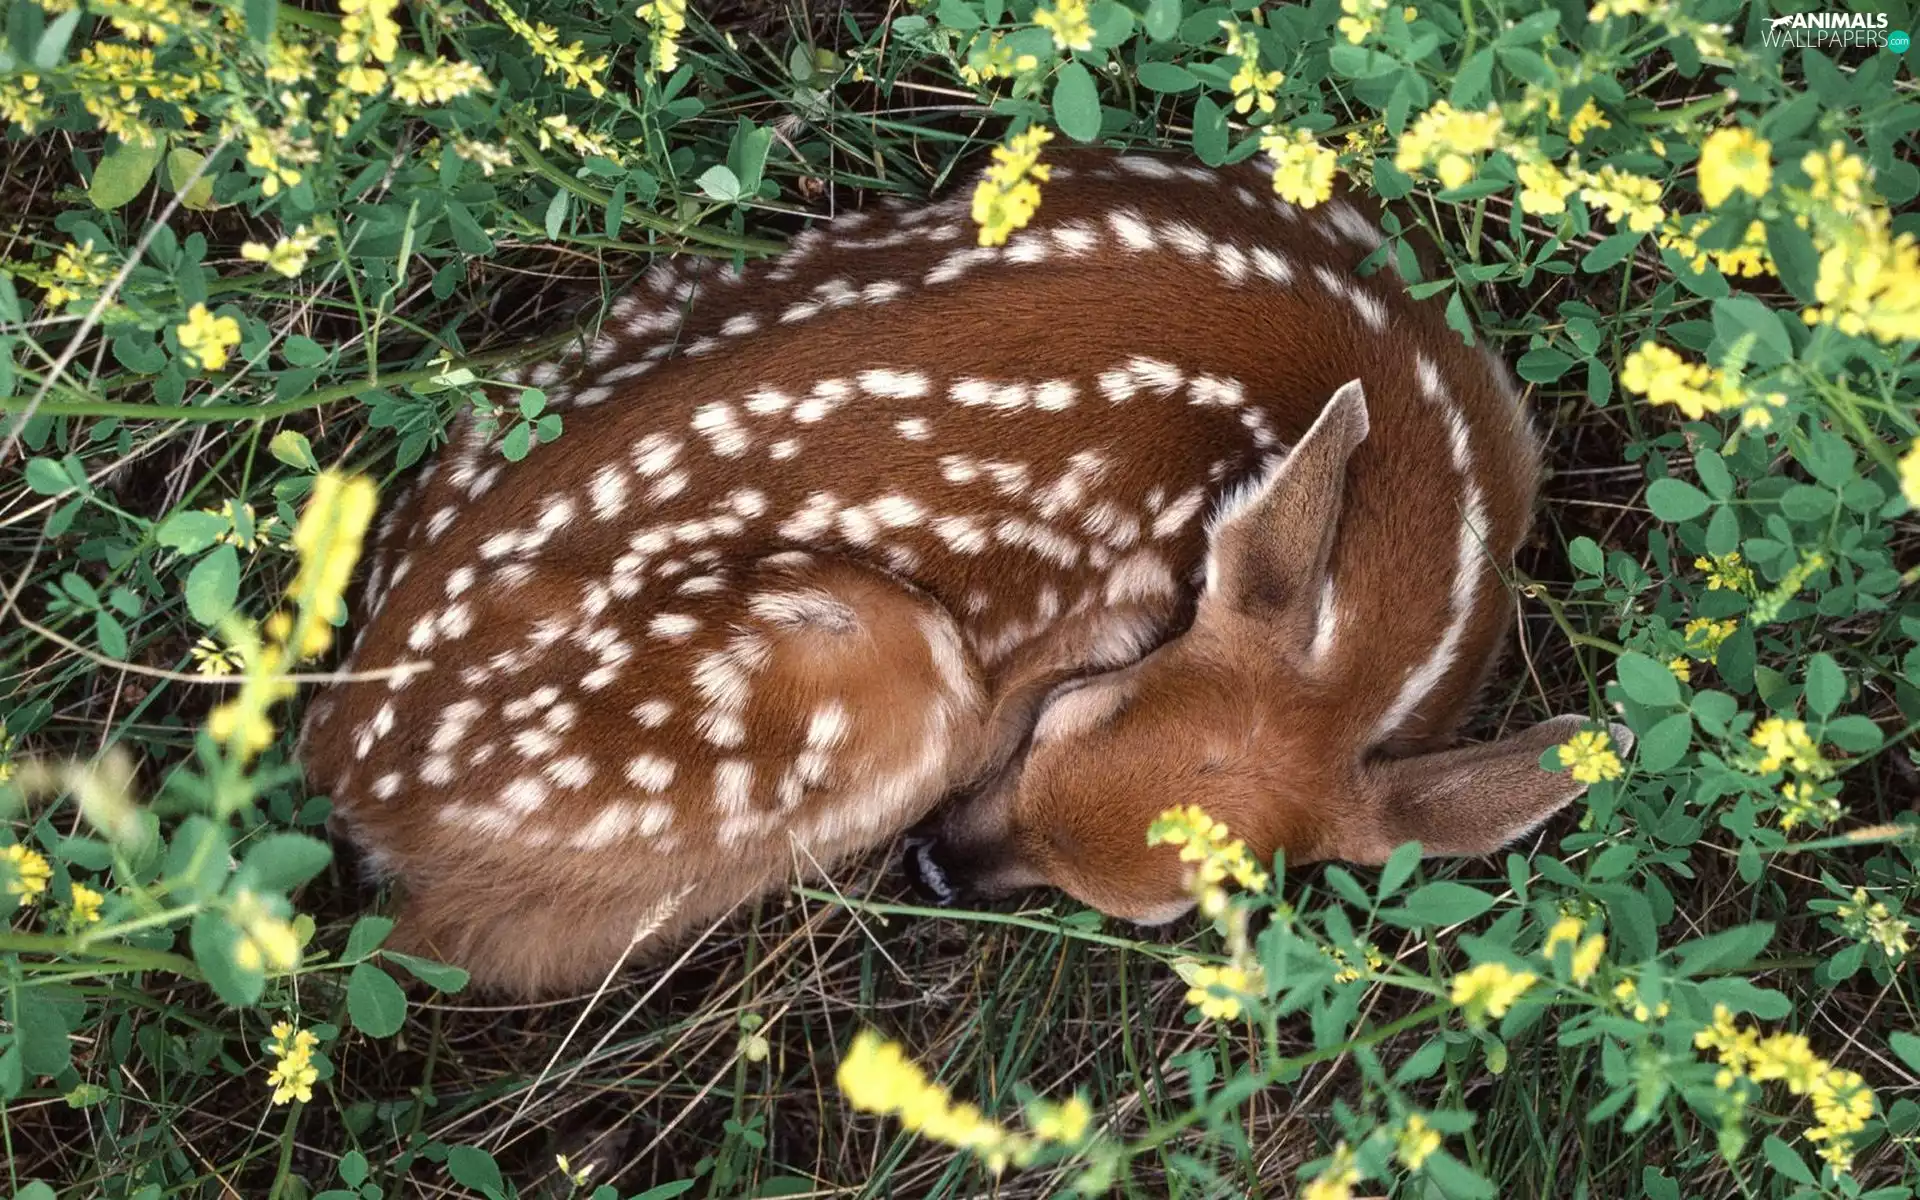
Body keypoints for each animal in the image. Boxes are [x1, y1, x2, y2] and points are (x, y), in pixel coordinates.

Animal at [298, 147, 1629, 998]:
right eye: (1069, 712)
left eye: (1168, 916)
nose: (938, 868)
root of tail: (347, 768)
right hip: (866, 678)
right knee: (474, 944)